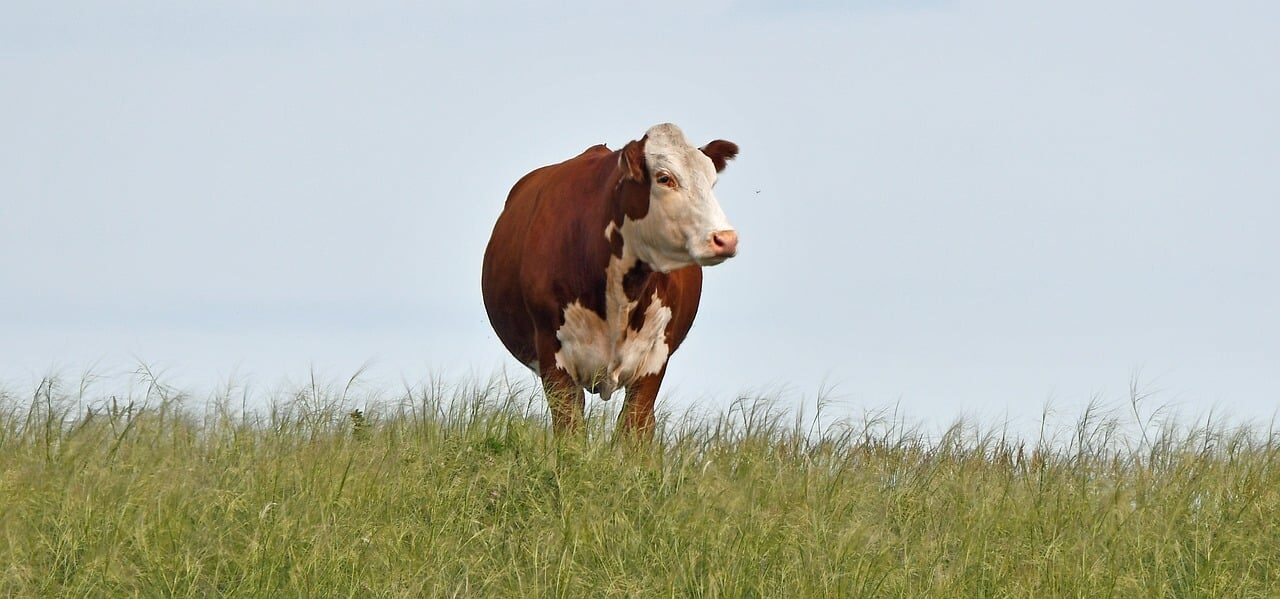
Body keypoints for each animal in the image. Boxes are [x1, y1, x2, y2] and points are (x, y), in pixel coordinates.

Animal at [481, 123, 741, 437]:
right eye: (664, 178)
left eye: (711, 181)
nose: (725, 238)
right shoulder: (553, 356)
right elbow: (569, 429)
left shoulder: (653, 362)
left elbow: (633, 428)